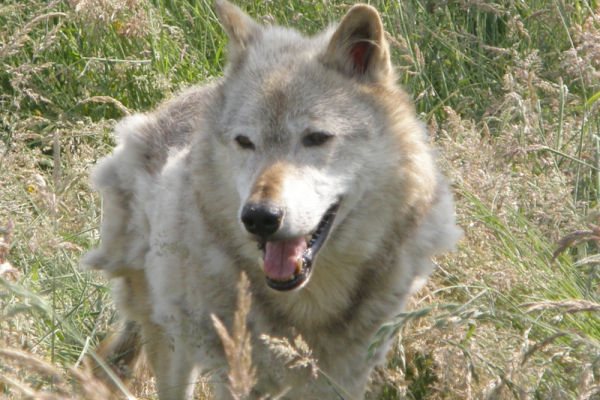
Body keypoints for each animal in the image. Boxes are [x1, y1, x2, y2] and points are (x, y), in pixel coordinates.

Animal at [83, 1, 460, 398]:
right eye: (245, 142)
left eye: (316, 138)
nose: (259, 217)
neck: (309, 304)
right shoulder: (234, 372)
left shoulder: (345, 374)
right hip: (170, 340)